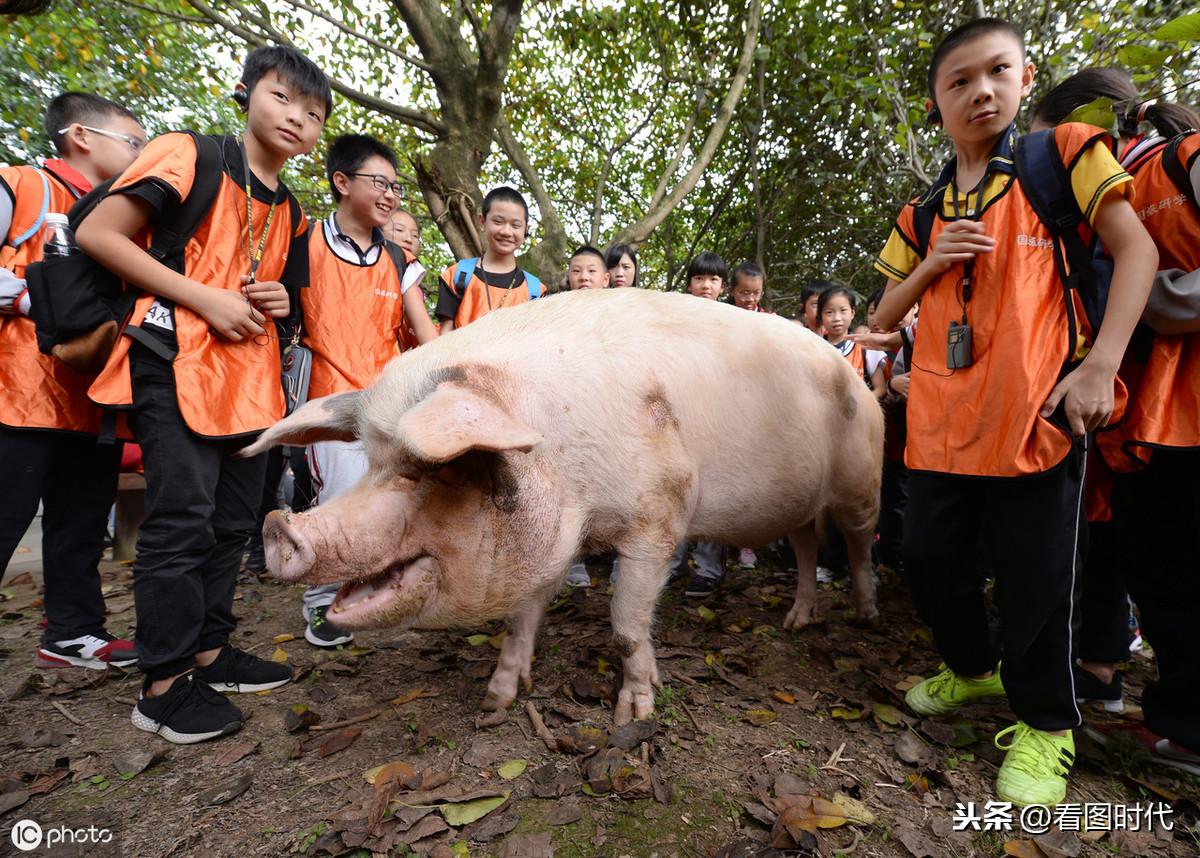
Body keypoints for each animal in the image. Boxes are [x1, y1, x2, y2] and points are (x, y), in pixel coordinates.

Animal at [246, 289, 883, 724]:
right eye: (372, 462)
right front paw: (496, 701)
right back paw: (797, 620)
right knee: (805, 543)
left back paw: (865, 614)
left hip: (863, 481)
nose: (280, 528)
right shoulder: (556, 537)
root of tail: (856, 376)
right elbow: (521, 617)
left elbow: (626, 625)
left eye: (428, 467)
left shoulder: (660, 517)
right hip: (801, 503)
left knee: (855, 543)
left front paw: (633, 714)